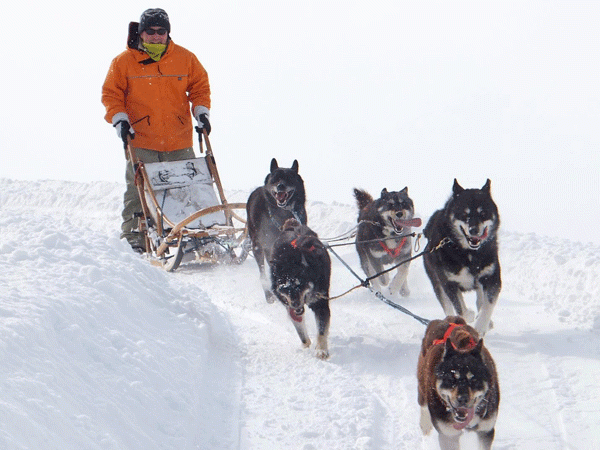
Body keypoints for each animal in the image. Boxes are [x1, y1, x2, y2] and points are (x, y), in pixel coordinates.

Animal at [246, 158, 308, 302]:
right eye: (275, 179)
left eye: (289, 178)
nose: (280, 186)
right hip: (257, 245)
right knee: (262, 272)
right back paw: (269, 294)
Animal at [270, 218, 330, 358]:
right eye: (284, 288)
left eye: (300, 284)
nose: (295, 304)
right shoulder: (289, 307)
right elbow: (301, 332)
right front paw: (306, 345)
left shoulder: (321, 304)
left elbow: (321, 329)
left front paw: (321, 350)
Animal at [414, 316, 500, 450]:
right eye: (451, 379)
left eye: (474, 380)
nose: (462, 398)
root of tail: (448, 320)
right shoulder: (448, 435)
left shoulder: (486, 431)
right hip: (422, 382)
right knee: (422, 403)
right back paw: (425, 425)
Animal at [422, 179, 502, 334]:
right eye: (464, 214)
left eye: (483, 213)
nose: (473, 230)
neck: (469, 254)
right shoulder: (449, 284)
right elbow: (461, 309)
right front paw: (469, 316)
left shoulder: (492, 278)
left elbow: (487, 306)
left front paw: (482, 325)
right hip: (437, 283)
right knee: (447, 307)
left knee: (480, 297)